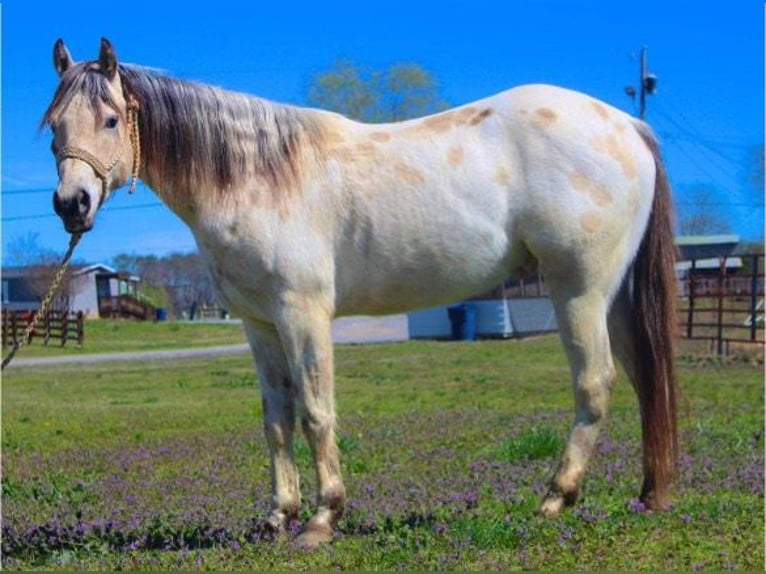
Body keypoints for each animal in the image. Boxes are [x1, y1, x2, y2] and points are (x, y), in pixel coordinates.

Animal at [43, 38, 680, 552]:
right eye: (54, 126)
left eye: (109, 119)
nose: (72, 204)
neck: (256, 175)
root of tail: (628, 126)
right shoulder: (259, 324)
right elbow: (277, 420)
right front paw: (279, 516)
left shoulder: (302, 312)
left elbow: (316, 411)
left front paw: (323, 519)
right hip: (613, 297)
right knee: (645, 379)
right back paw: (649, 494)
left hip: (579, 291)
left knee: (595, 383)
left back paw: (555, 498)